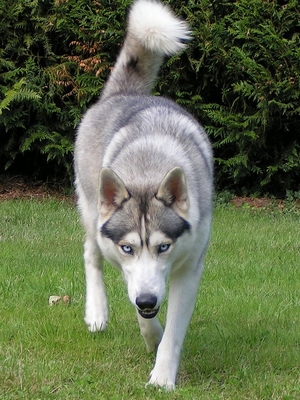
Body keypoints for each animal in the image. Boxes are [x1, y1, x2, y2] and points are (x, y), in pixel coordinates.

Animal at [74, 0, 212, 390]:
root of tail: (124, 95)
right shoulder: (126, 265)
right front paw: (152, 335)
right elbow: (143, 316)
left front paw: (163, 376)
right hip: (91, 210)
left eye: (164, 247)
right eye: (128, 248)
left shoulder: (189, 269)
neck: (149, 169)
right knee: (90, 254)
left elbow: (174, 332)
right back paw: (97, 312)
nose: (149, 300)